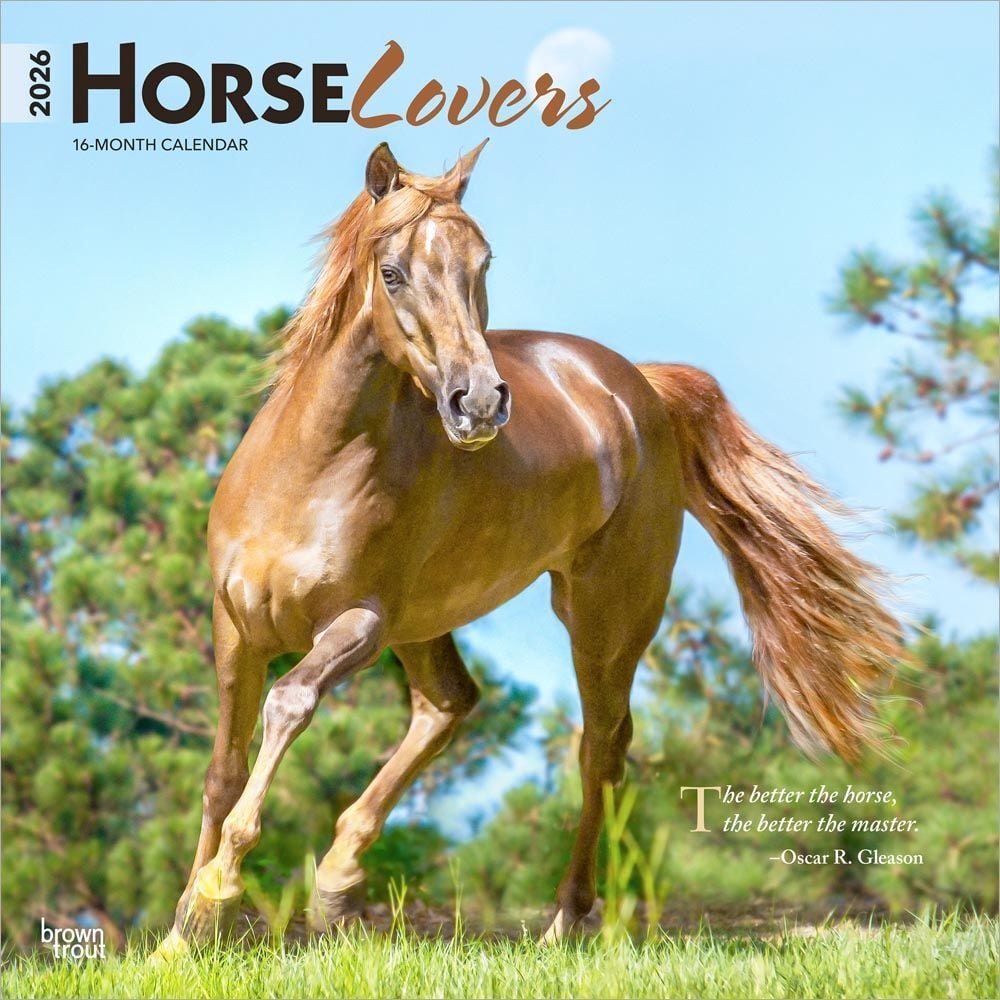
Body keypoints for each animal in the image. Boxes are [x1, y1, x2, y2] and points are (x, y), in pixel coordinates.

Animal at [153, 141, 901, 959]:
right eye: (393, 272)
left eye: (483, 262)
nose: (478, 402)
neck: (310, 469)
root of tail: (641, 389)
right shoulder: (235, 626)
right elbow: (222, 771)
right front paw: (180, 932)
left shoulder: (359, 624)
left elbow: (289, 704)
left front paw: (216, 894)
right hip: (429, 625)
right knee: (451, 705)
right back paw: (339, 886)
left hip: (601, 616)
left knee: (600, 743)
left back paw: (565, 919)